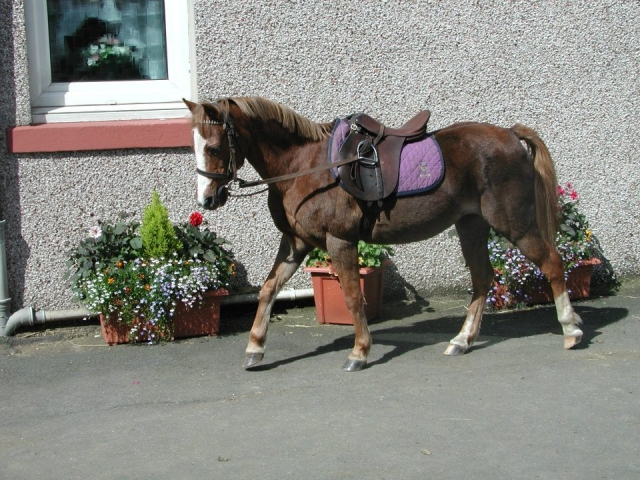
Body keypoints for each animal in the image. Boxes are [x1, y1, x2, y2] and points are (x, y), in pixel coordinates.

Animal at [183, 97, 584, 372]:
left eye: (215, 146)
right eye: (194, 145)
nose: (206, 199)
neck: (304, 166)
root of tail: (511, 136)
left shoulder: (339, 241)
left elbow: (352, 297)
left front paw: (360, 352)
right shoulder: (296, 244)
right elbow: (267, 291)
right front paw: (255, 348)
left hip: (514, 224)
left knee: (552, 263)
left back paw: (570, 330)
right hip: (471, 225)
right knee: (483, 278)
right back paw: (462, 340)